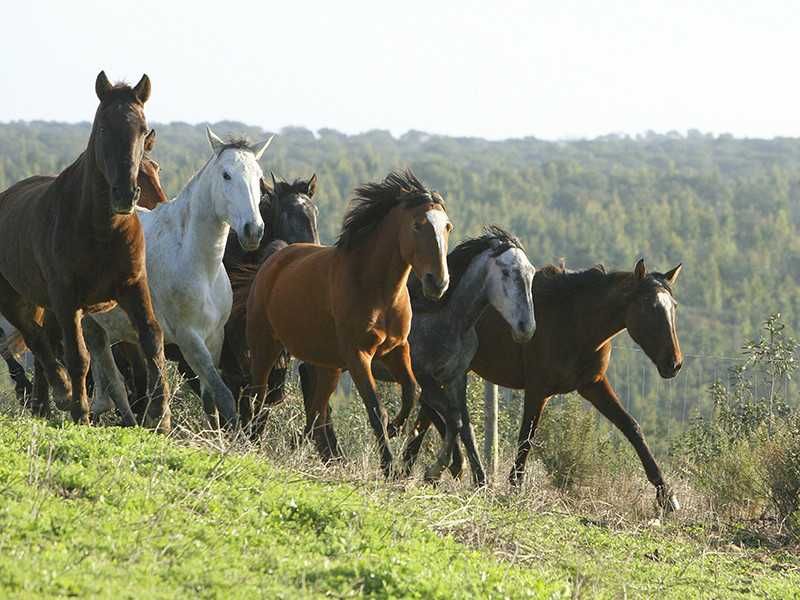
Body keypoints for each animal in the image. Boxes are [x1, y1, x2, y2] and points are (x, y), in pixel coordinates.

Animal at [0, 71, 170, 429]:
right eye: (103, 127)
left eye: (141, 128)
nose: (125, 194)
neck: (101, 230)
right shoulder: (68, 299)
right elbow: (78, 356)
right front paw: (80, 409)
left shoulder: (133, 286)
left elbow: (152, 338)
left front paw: (159, 416)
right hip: (13, 298)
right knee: (36, 339)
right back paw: (62, 392)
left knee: (42, 342)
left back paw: (46, 402)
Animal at [87, 127, 272, 427]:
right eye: (226, 175)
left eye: (259, 178)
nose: (253, 230)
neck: (196, 263)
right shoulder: (189, 338)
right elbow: (224, 395)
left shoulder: (214, 338)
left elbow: (210, 399)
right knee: (111, 378)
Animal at [244, 169, 452, 475]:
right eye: (418, 224)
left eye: (447, 226)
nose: (437, 283)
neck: (377, 290)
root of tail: (276, 258)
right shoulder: (358, 355)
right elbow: (377, 409)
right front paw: (388, 465)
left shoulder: (397, 350)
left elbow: (411, 392)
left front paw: (395, 430)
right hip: (265, 346)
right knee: (260, 395)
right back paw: (251, 439)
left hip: (327, 365)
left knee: (317, 411)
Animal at [300, 226, 536, 485]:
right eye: (506, 272)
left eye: (531, 274)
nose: (526, 328)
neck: (447, 318)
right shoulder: (424, 378)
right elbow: (453, 418)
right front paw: (438, 469)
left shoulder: (455, 378)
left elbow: (465, 426)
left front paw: (479, 480)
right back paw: (329, 454)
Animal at [404, 258, 683, 510]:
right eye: (649, 307)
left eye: (674, 307)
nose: (674, 363)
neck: (575, 321)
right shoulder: (537, 390)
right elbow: (526, 437)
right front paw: (515, 486)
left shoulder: (593, 386)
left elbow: (632, 428)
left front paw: (666, 495)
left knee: (430, 411)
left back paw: (417, 466)